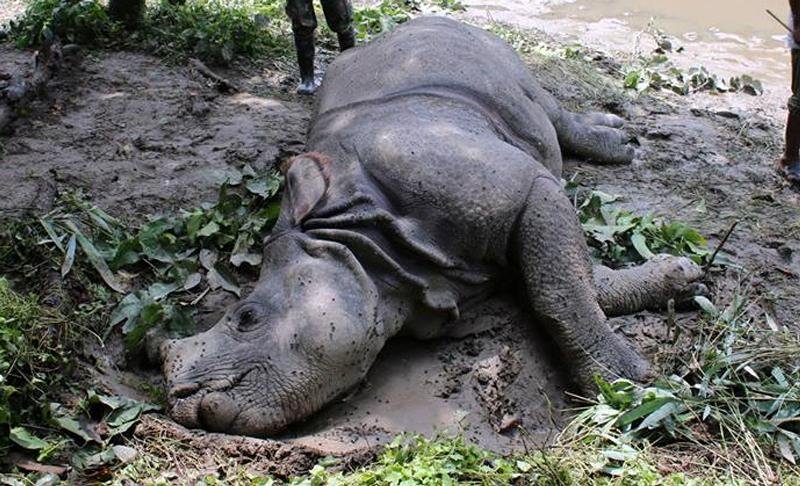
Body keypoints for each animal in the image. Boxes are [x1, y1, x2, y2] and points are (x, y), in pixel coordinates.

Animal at [161, 16, 703, 437]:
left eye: (246, 317)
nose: (184, 403)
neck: (361, 242)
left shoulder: (523, 188)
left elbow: (559, 291)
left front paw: (627, 386)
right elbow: (569, 278)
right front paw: (680, 280)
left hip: (491, 51)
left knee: (541, 105)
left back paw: (620, 145)